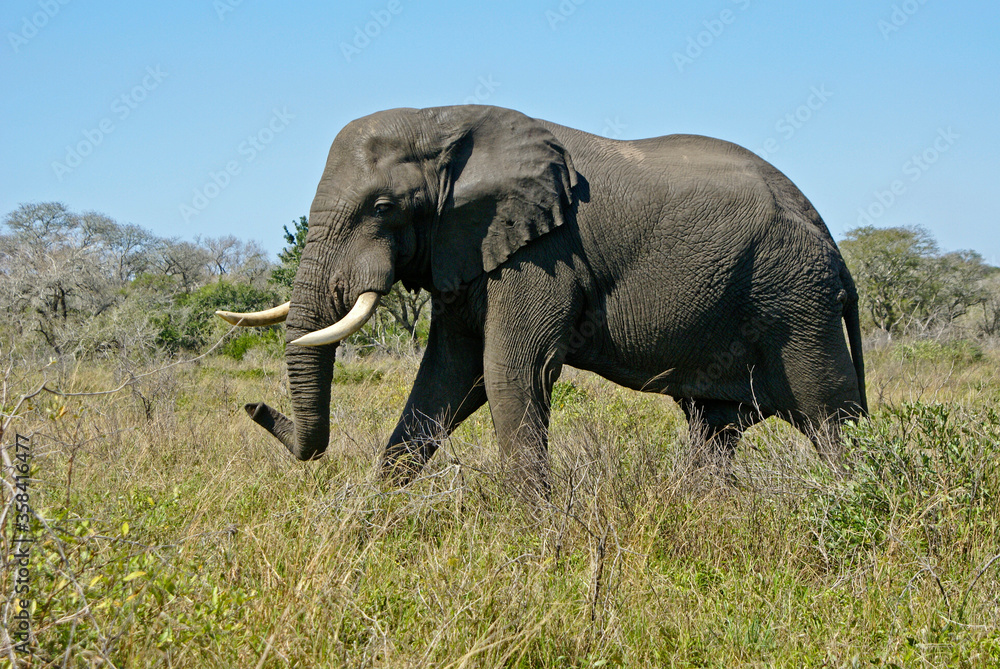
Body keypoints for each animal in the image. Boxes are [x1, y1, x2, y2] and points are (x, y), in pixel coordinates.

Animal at [219, 105, 868, 490]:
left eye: (382, 207)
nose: (252, 406)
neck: (444, 119)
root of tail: (835, 248)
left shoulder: (542, 253)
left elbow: (510, 371)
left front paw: (533, 537)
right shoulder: (469, 249)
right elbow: (447, 378)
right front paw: (373, 517)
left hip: (796, 301)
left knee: (831, 413)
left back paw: (859, 501)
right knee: (714, 428)